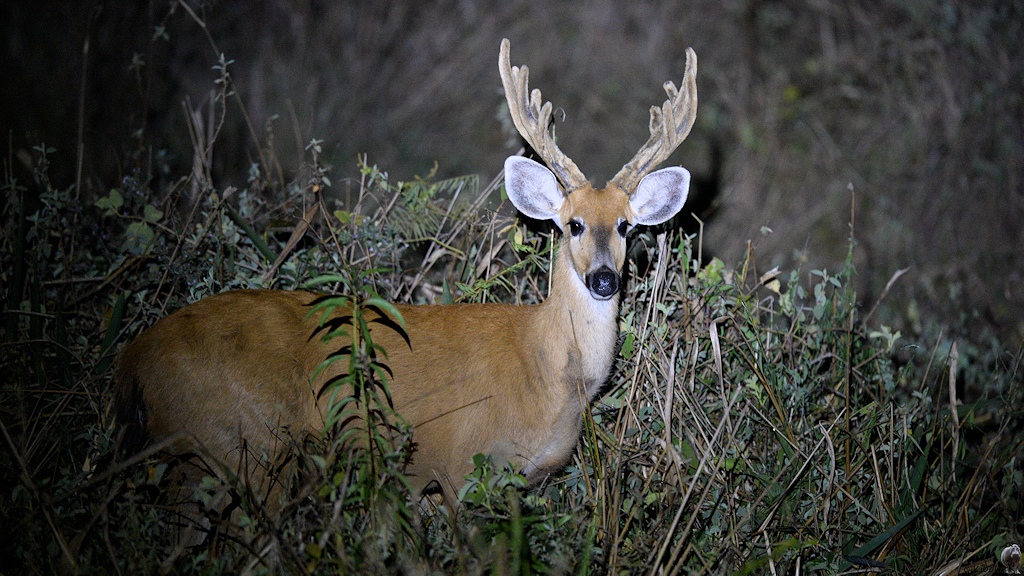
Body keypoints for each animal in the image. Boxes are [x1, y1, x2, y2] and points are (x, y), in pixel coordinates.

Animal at [114, 38, 698, 510]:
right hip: (245, 445)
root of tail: (134, 359)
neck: (547, 371)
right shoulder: (461, 462)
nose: (604, 280)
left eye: (625, 226)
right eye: (573, 224)